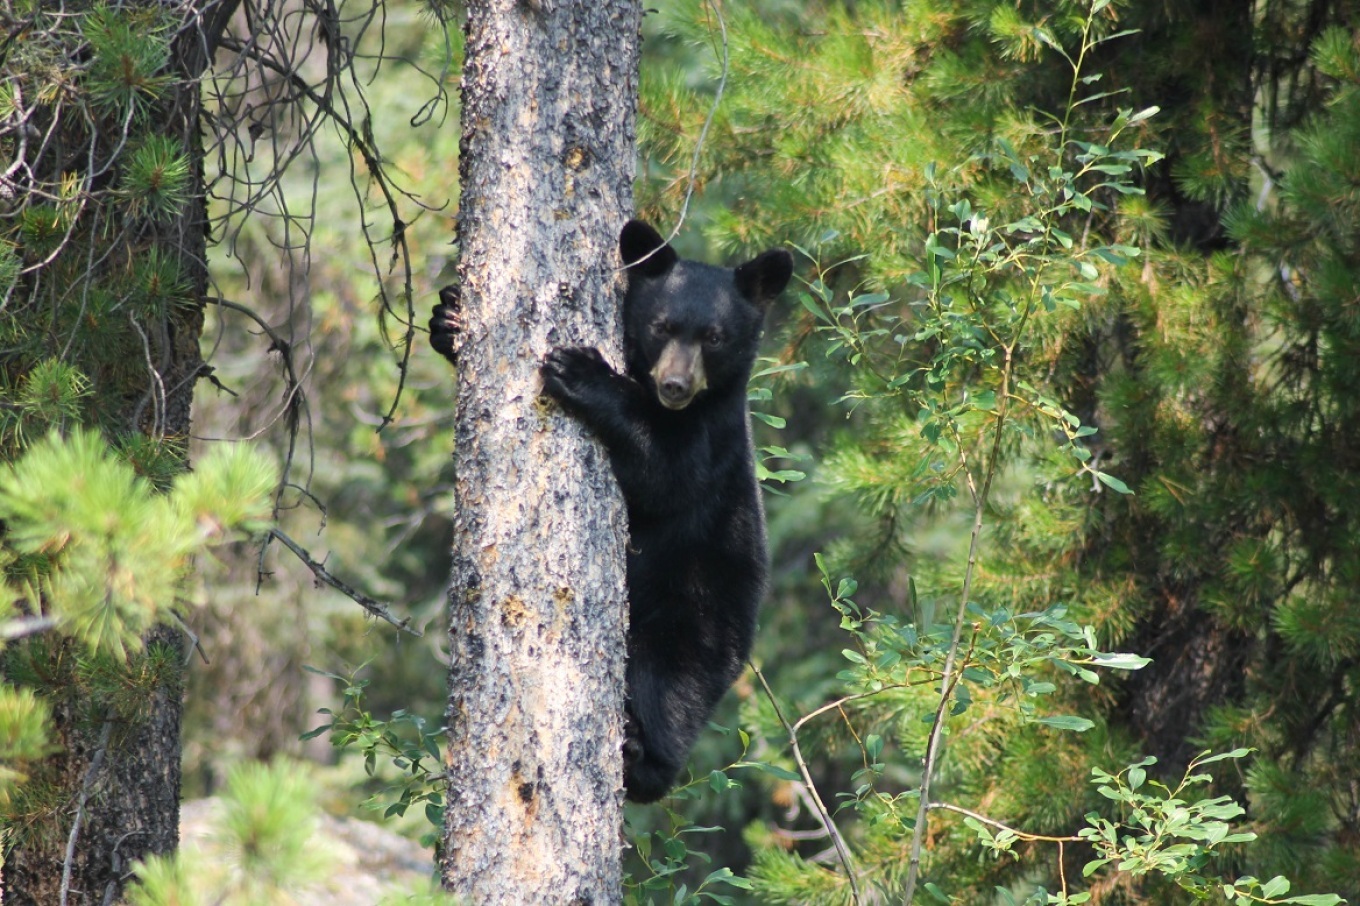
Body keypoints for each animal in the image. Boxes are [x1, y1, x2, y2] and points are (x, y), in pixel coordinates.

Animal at [432, 221, 794, 799]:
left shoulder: (712, 437)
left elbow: (665, 475)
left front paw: (581, 371)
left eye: (715, 337)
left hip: (696, 614)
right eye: (662, 326)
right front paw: (447, 315)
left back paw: (641, 756)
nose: (675, 385)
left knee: (668, 687)